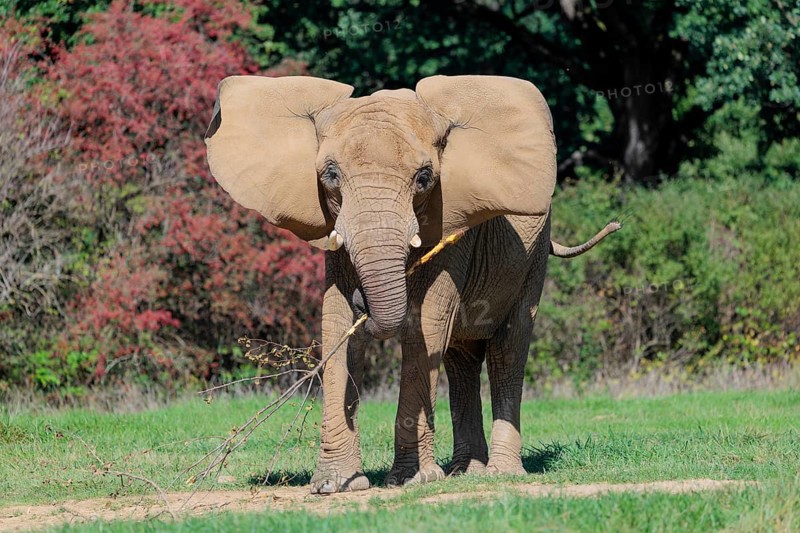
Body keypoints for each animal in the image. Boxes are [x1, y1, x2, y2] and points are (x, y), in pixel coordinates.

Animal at [205, 74, 619, 494]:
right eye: (330, 175)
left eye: (424, 178)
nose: (363, 301)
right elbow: (336, 320)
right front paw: (337, 484)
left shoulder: (453, 220)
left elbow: (428, 320)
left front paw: (411, 479)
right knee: (461, 360)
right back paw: (465, 471)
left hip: (533, 257)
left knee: (507, 348)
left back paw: (500, 473)